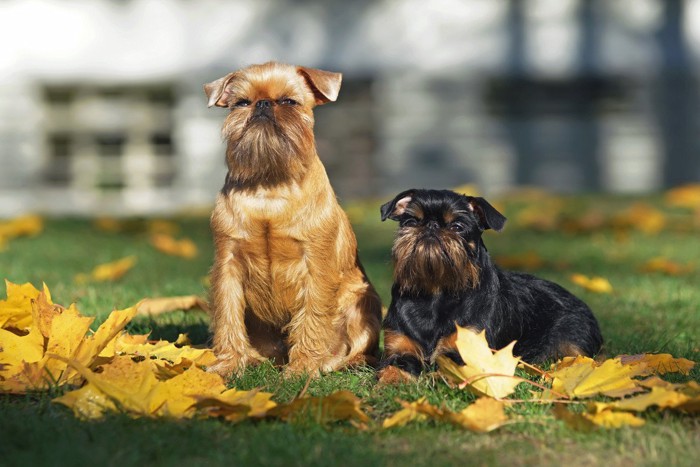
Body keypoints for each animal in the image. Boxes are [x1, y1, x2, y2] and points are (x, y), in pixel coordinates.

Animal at [202, 61, 382, 376]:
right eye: (242, 103)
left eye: (288, 102)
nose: (262, 104)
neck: (270, 185)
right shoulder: (228, 265)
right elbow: (227, 316)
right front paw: (229, 363)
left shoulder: (316, 266)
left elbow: (313, 317)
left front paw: (304, 367)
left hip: (362, 300)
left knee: (359, 347)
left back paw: (337, 362)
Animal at [378, 188, 600, 378]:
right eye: (411, 222)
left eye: (457, 227)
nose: (431, 226)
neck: (435, 291)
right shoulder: (398, 350)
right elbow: (392, 370)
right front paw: (386, 385)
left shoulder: (467, 352)